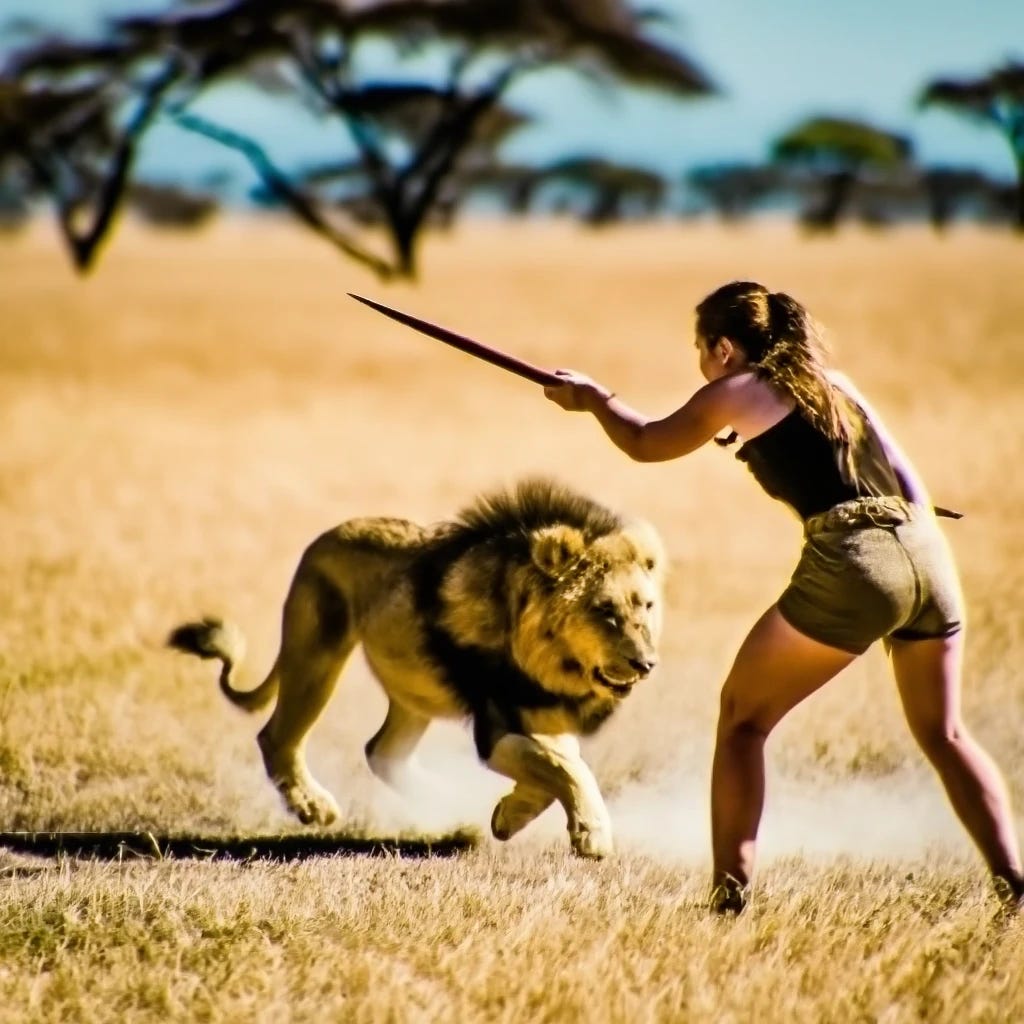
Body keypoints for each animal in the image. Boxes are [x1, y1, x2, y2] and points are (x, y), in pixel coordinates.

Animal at [168, 477, 665, 858]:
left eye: (646, 605)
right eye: (604, 610)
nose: (646, 664)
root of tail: (324, 538)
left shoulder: (545, 715)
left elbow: (562, 764)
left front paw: (510, 814)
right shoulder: (495, 724)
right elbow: (565, 768)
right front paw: (592, 834)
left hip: (412, 690)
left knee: (380, 751)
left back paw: (448, 800)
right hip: (317, 654)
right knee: (277, 737)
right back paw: (315, 806)